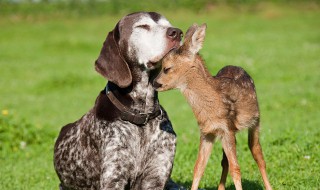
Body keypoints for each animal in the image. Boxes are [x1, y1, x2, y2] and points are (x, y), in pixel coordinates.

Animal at [54, 12, 184, 190]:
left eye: (168, 24)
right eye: (142, 26)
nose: (177, 32)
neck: (141, 116)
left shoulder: (155, 177)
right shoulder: (114, 178)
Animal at [154, 24, 272, 190]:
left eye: (167, 68)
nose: (155, 83)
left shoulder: (227, 128)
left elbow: (236, 168)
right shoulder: (207, 132)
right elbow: (199, 167)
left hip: (255, 121)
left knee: (257, 154)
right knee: (225, 162)